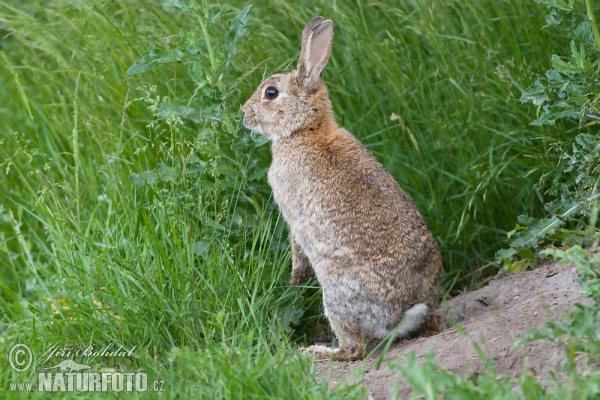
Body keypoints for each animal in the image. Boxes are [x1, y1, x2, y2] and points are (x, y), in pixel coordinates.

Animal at [241, 16, 442, 362]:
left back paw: (316, 351)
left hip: (335, 294)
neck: (305, 130)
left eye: (271, 92)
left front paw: (295, 276)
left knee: (353, 349)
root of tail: (403, 312)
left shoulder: (292, 212)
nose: (243, 113)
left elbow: (296, 243)